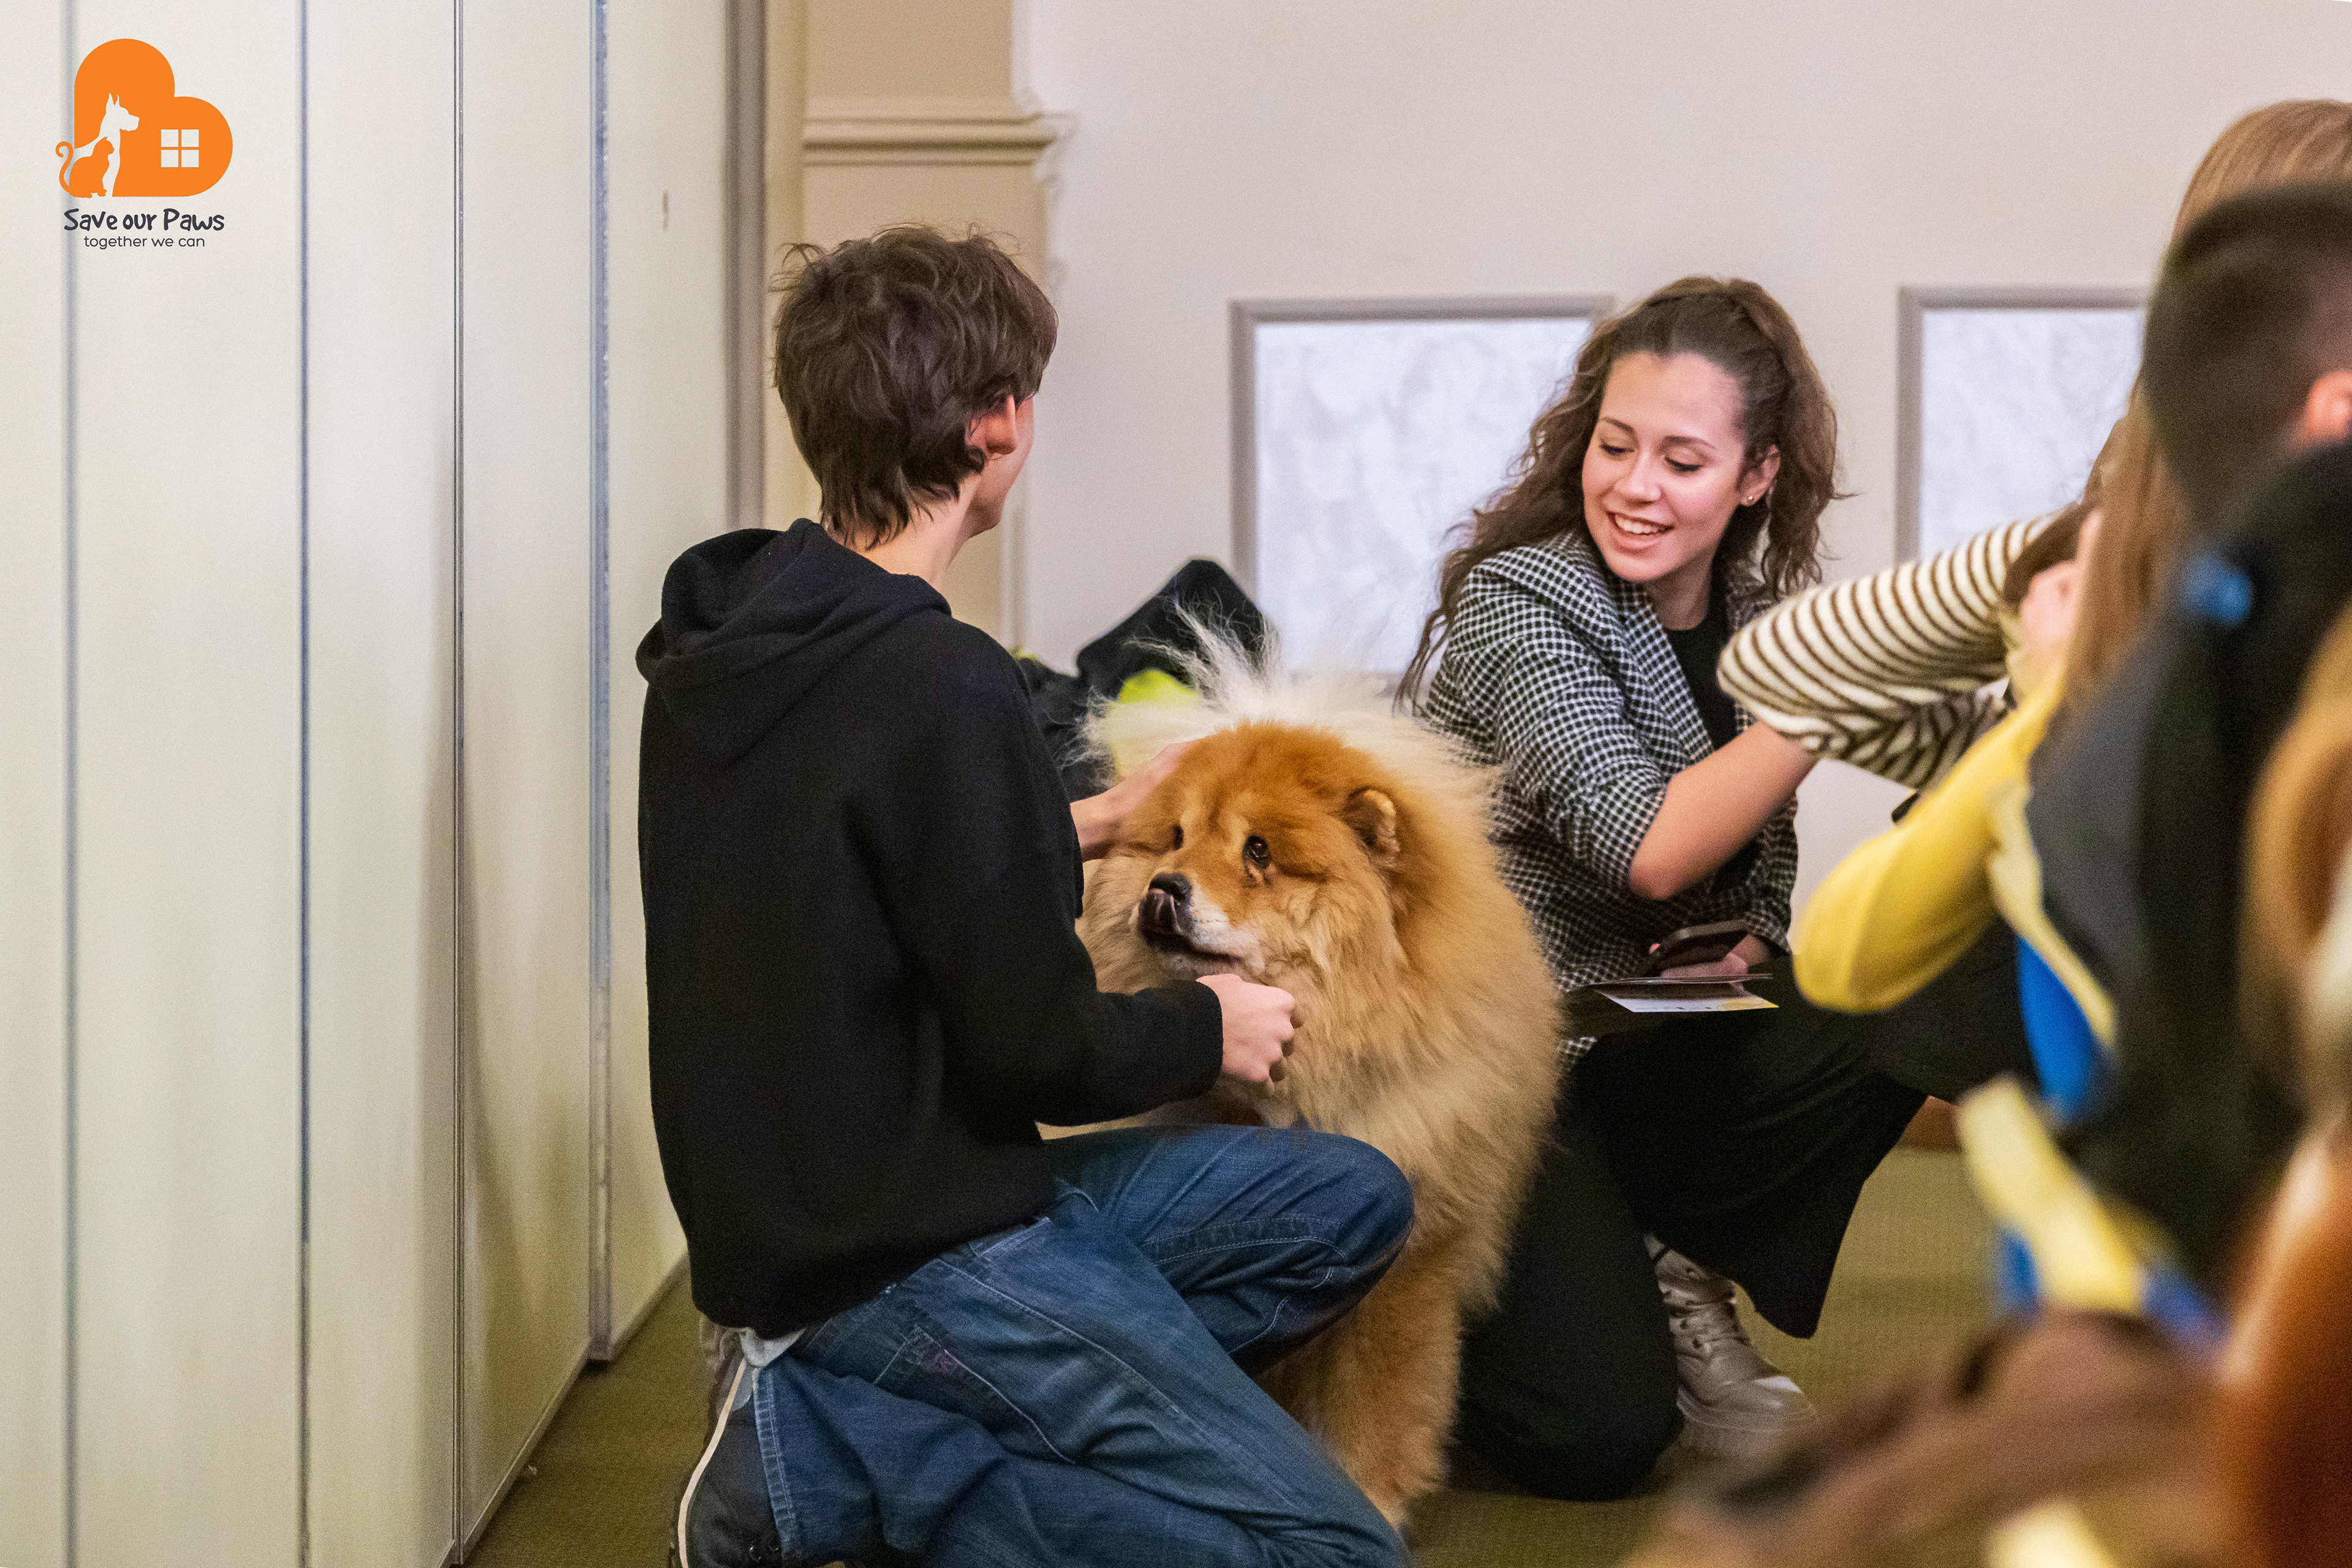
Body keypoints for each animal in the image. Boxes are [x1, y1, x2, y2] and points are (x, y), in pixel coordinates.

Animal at [1075, 637, 1561, 1523]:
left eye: (1259, 851)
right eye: (1174, 838)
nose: (1165, 889)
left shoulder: (1416, 1255)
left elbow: (1376, 1395)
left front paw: (1371, 1494)